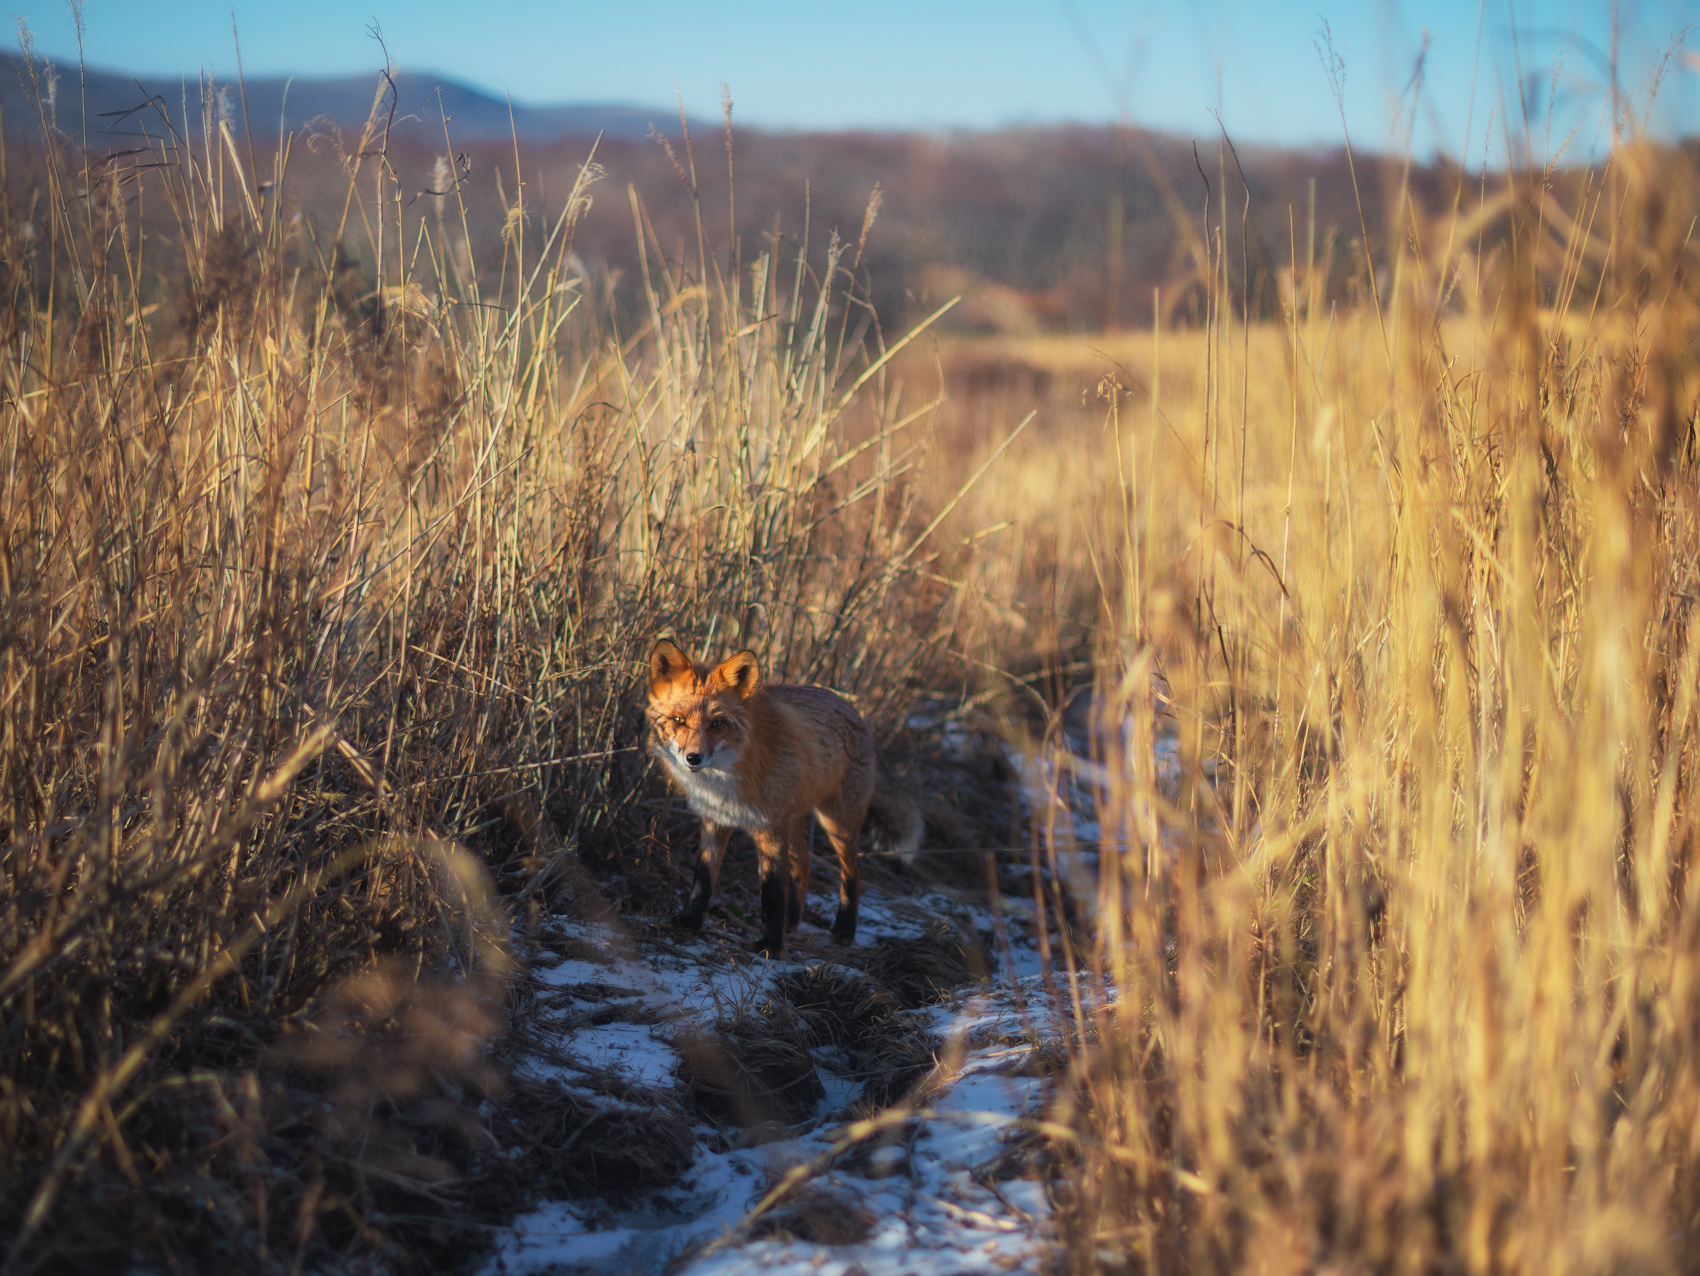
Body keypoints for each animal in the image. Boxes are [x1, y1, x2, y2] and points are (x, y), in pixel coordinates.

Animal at [642, 638, 924, 958]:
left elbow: (772, 891)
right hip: (795, 820)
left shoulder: (769, 827)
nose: (693, 758)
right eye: (678, 720)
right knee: (804, 864)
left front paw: (770, 944)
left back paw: (844, 930)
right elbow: (704, 876)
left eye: (717, 723)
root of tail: (855, 712)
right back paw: (793, 922)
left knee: (854, 870)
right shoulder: (716, 820)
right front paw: (690, 919)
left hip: (837, 824)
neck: (726, 778)